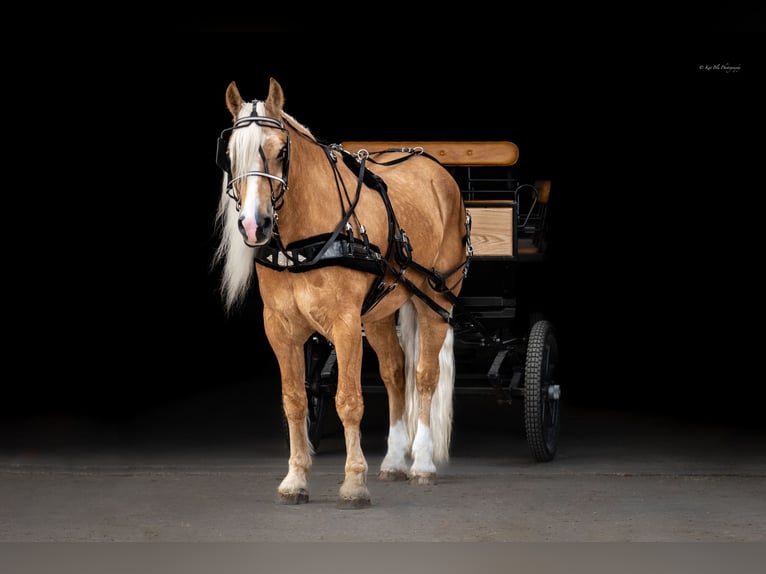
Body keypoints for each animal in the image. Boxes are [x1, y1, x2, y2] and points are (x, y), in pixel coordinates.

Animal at [213, 75, 472, 508]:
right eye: (231, 154)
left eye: (281, 151)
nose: (254, 224)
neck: (305, 240)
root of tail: (435, 168)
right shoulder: (279, 328)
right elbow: (295, 401)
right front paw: (296, 478)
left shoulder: (346, 324)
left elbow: (349, 401)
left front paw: (354, 482)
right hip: (381, 312)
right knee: (395, 372)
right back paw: (395, 460)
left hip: (435, 300)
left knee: (425, 376)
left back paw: (421, 462)